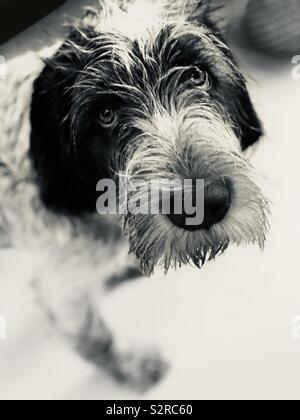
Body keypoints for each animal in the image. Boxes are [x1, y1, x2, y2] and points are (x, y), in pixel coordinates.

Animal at [0, 0, 270, 390]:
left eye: (196, 75)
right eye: (105, 114)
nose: (203, 205)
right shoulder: (62, 288)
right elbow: (94, 337)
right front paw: (133, 368)